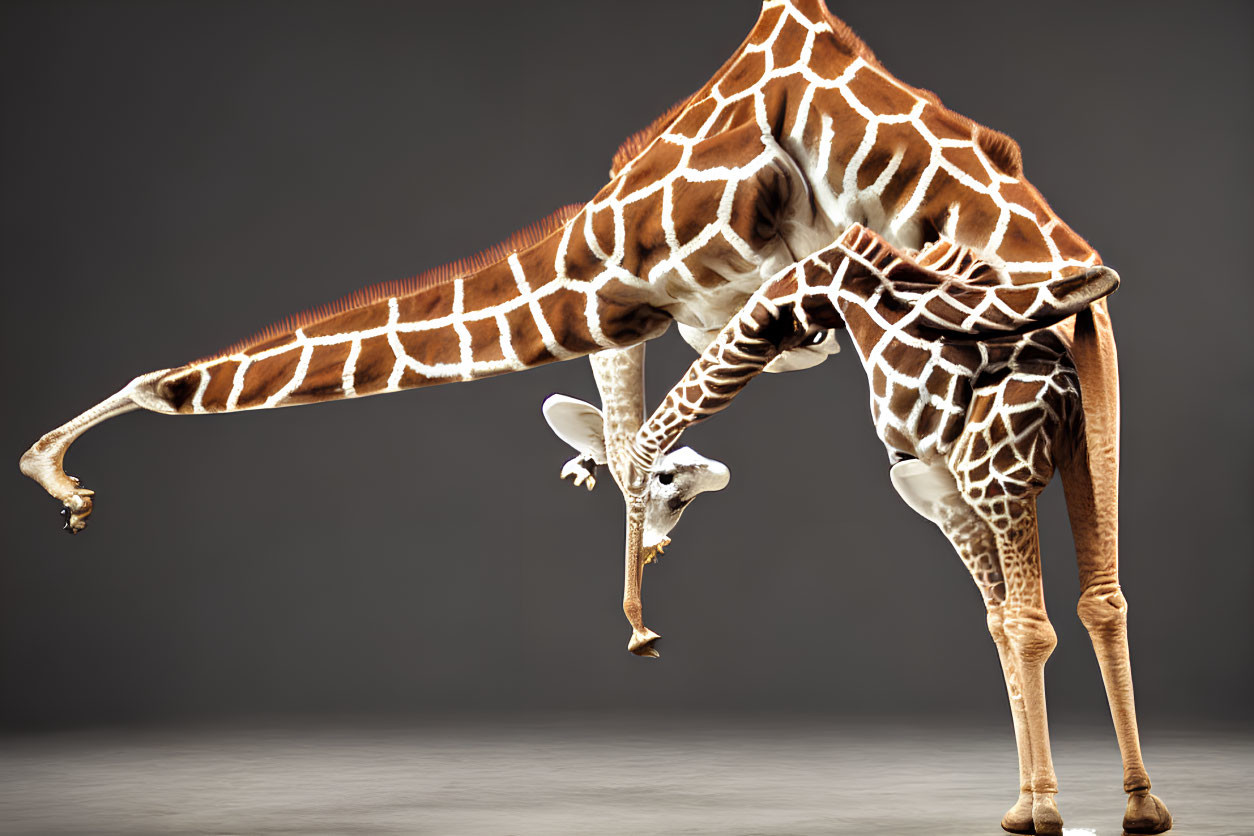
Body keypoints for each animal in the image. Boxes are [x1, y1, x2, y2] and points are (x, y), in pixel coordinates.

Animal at [19, 3, 1168, 832]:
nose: (59, 483)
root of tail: (1066, 252)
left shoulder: (662, 293)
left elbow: (641, 432)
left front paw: (640, 596)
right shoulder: (665, 310)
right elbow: (626, 430)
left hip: (974, 424)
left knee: (1026, 601)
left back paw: (1047, 809)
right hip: (1060, 389)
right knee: (1096, 591)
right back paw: (1129, 803)